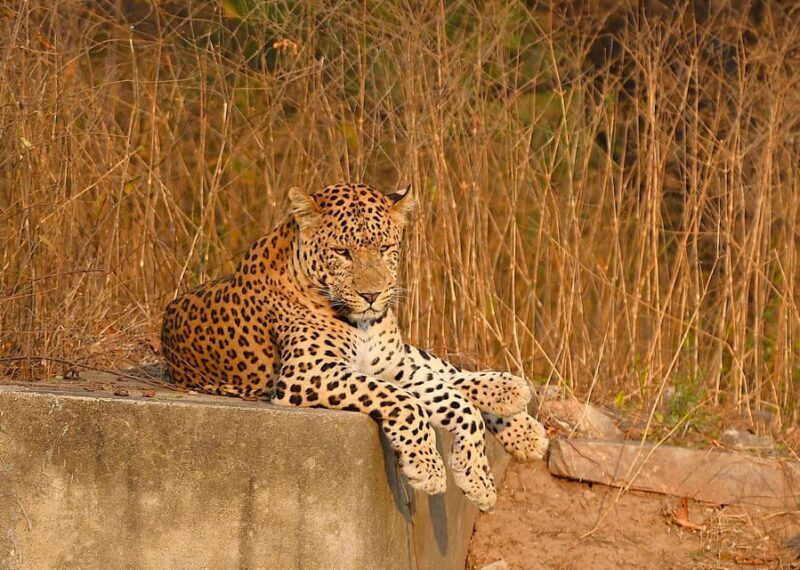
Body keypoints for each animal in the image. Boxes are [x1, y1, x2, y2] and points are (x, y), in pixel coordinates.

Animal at [161, 182, 549, 510]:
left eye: (385, 249)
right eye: (342, 252)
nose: (372, 295)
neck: (362, 324)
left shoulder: (391, 364)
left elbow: (452, 400)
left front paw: (476, 478)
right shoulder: (309, 372)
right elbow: (407, 400)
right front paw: (431, 468)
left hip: (402, 353)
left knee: (446, 369)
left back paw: (516, 406)